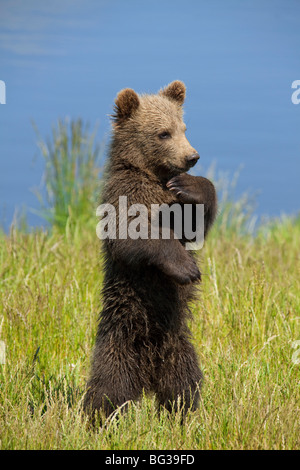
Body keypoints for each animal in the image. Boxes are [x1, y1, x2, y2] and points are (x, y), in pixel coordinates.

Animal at [83, 81, 217, 418]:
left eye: (183, 127)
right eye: (163, 133)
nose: (192, 156)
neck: (152, 175)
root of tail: (148, 375)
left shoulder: (172, 202)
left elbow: (193, 222)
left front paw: (190, 184)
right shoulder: (126, 194)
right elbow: (132, 235)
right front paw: (187, 268)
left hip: (179, 346)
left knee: (185, 384)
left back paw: (183, 414)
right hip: (119, 343)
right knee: (109, 387)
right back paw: (101, 417)